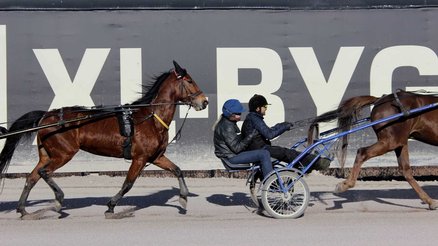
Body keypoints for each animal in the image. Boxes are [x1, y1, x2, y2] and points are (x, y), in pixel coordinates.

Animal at [0, 60, 209, 218]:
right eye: (190, 81)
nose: (204, 101)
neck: (150, 118)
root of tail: (46, 115)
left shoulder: (155, 156)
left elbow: (178, 170)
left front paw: (183, 197)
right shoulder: (140, 158)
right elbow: (128, 183)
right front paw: (111, 205)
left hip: (47, 154)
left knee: (32, 177)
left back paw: (23, 209)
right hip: (63, 154)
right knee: (44, 172)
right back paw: (59, 199)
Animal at [308, 90, 438, 209]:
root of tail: (380, 100)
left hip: (399, 142)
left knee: (405, 170)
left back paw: (430, 201)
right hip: (391, 141)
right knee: (362, 152)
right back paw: (345, 185)